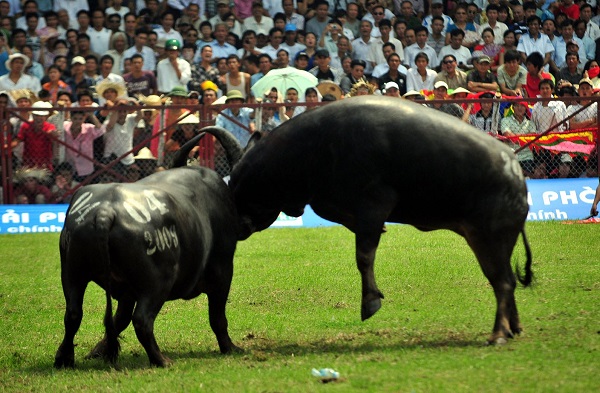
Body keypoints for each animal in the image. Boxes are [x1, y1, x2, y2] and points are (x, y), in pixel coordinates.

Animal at [202, 95, 536, 344]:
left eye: (242, 185)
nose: (237, 226)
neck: (311, 146)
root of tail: (515, 174)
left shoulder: (373, 205)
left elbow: (364, 256)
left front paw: (371, 301)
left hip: (489, 238)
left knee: (503, 281)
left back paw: (498, 334)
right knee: (505, 280)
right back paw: (513, 328)